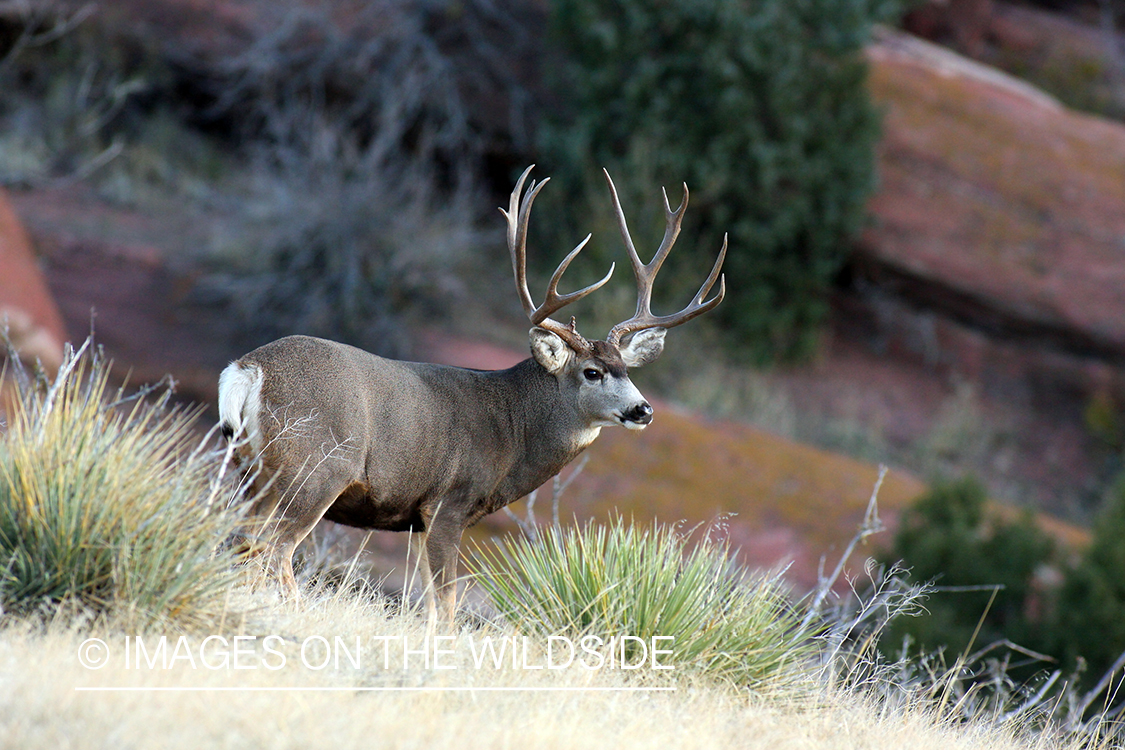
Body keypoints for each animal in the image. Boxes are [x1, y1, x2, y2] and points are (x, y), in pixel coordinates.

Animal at [217, 165, 726, 622]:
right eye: (592, 372)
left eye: (627, 369)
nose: (643, 410)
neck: (513, 429)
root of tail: (248, 369)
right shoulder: (449, 503)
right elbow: (446, 604)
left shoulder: (418, 519)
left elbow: (428, 602)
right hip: (317, 466)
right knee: (274, 550)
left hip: (253, 470)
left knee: (240, 542)